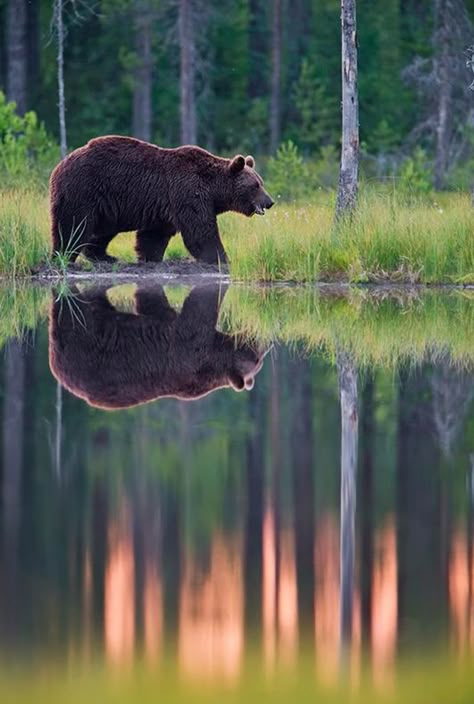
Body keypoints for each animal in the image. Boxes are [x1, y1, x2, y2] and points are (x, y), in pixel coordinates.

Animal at [49, 136, 274, 266]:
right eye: (255, 185)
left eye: (261, 182)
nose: (270, 201)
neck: (214, 189)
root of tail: (60, 165)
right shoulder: (188, 193)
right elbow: (200, 230)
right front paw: (221, 258)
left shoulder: (163, 206)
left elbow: (154, 236)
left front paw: (150, 258)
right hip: (85, 190)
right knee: (74, 225)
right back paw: (64, 256)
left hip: (107, 206)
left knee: (102, 230)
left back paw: (105, 256)